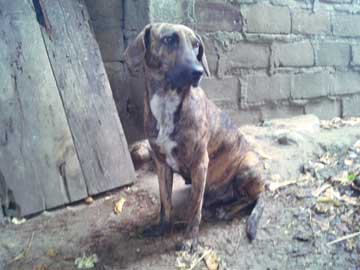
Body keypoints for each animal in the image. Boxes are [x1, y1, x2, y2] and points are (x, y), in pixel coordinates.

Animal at [125, 22, 266, 251]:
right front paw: (162, 227)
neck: (167, 102)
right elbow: (165, 202)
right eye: (169, 39)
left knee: (249, 200)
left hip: (248, 165)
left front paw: (190, 238)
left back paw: (225, 210)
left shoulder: (200, 163)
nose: (198, 72)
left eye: (196, 45)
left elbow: (194, 209)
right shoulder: (161, 164)